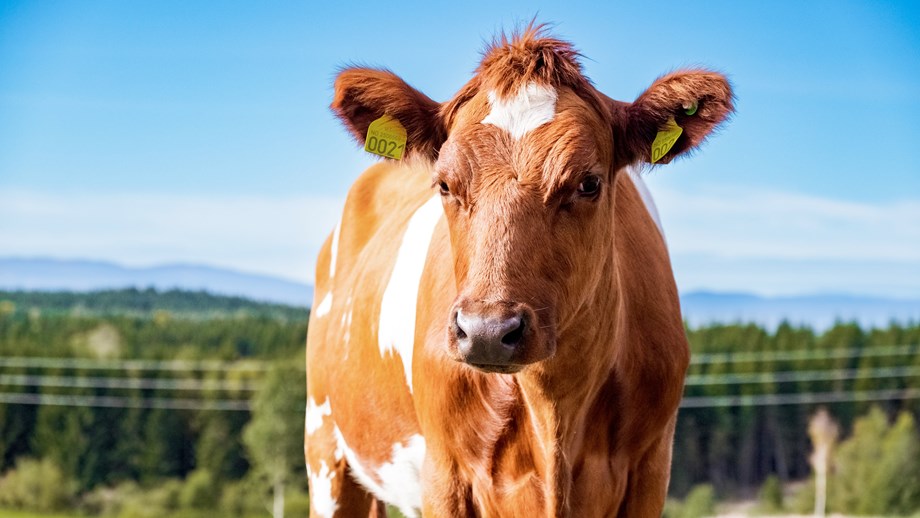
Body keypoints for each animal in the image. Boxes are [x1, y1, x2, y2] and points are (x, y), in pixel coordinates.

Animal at [306, 25, 736, 518]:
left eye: (588, 183)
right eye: (445, 185)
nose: (487, 331)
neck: (555, 414)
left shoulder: (651, 468)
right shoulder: (443, 475)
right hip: (325, 448)